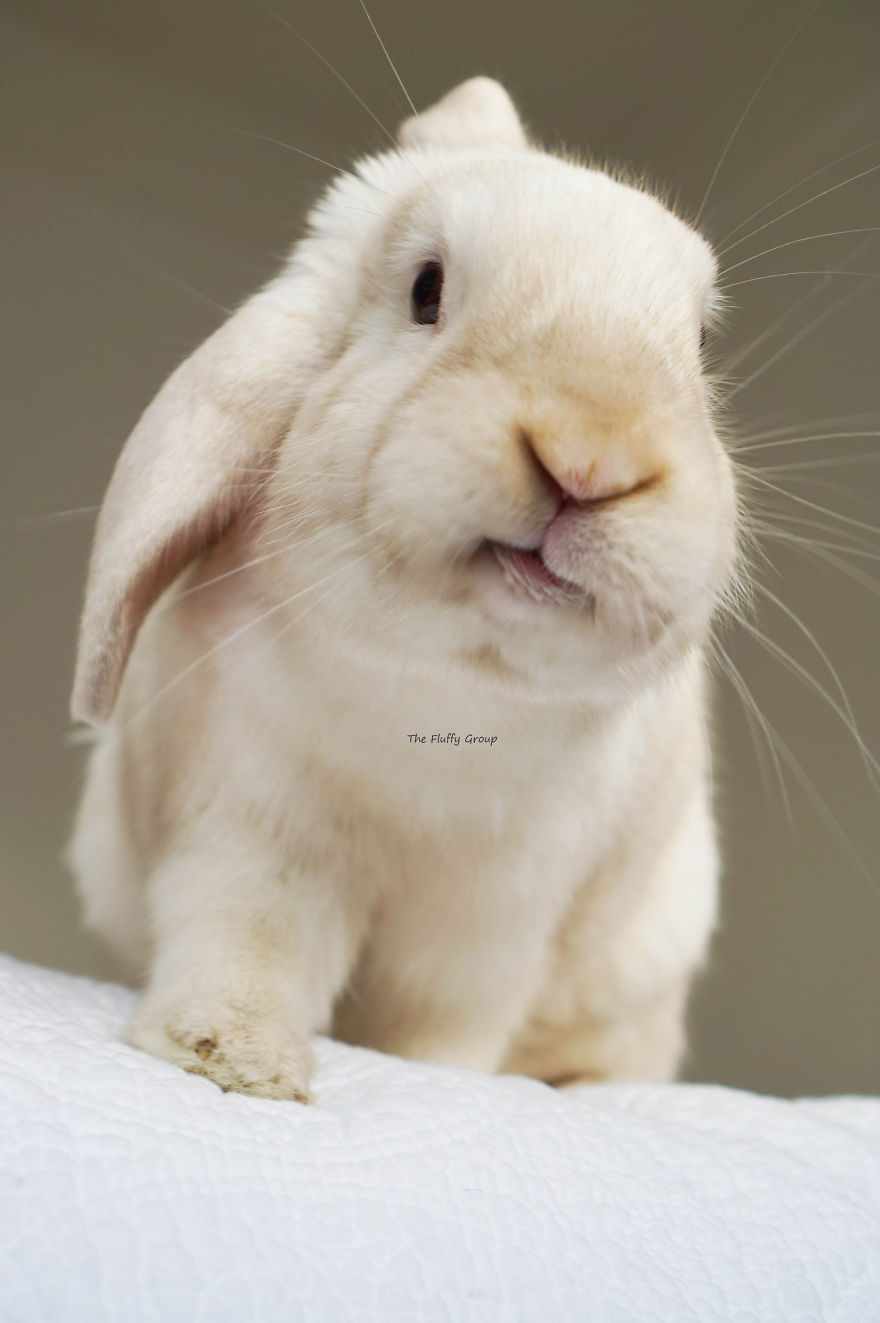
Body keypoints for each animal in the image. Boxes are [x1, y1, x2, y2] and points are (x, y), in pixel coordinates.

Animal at [68, 77, 738, 1102]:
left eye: (697, 342)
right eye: (427, 289)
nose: (590, 458)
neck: (447, 690)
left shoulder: (490, 930)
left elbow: (439, 1035)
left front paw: (433, 1082)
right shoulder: (251, 830)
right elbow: (243, 938)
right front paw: (232, 1059)